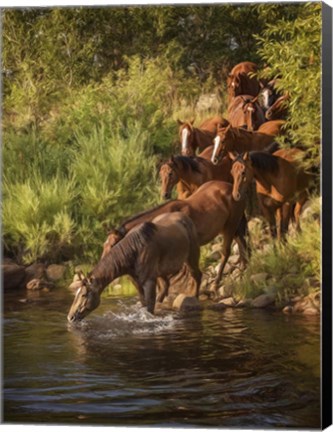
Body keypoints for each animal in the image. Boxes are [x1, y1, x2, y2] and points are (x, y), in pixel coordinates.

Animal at [67, 213, 201, 320]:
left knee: (196, 275)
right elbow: (144, 303)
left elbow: (149, 308)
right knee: (165, 286)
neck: (135, 250)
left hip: (191, 257)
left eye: (84, 294)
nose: (70, 317)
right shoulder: (137, 282)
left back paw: (194, 299)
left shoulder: (149, 281)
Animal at [102, 181, 248, 296]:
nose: (105, 263)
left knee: (225, 253)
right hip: (231, 228)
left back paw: (216, 284)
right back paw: (243, 268)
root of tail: (232, 187)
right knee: (242, 244)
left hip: (230, 226)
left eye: (112, 245)